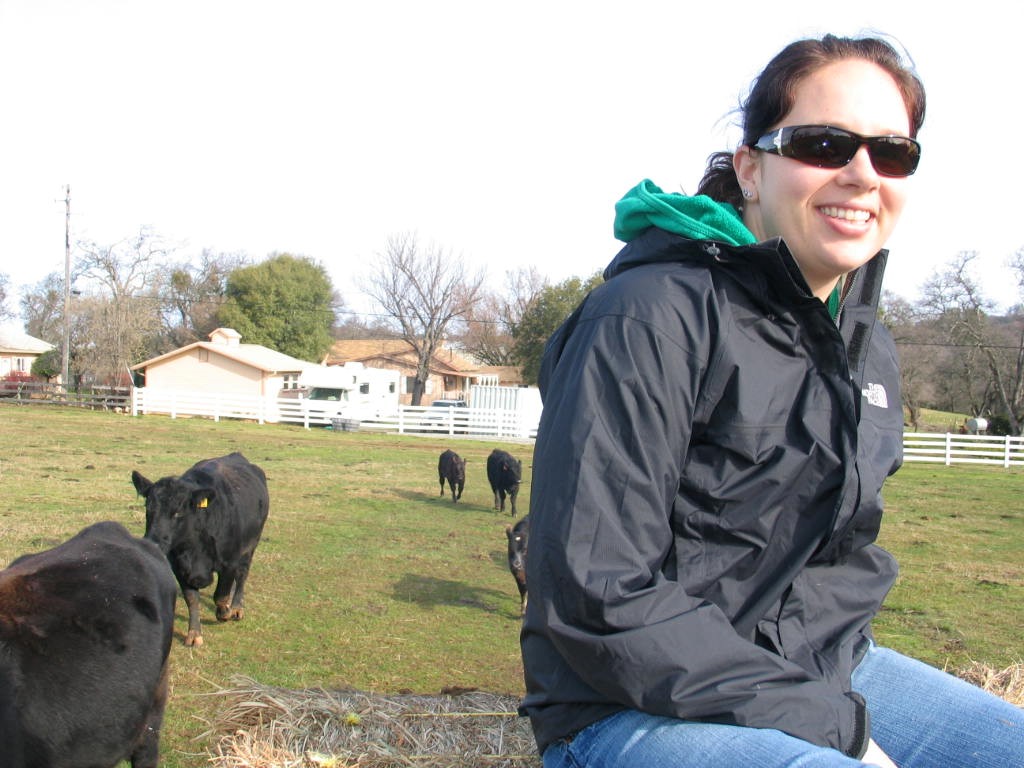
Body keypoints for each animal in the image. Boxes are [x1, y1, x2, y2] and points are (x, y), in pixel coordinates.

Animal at [131, 454, 268, 647]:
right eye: (148, 508)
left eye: (178, 512)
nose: (153, 543)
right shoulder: (179, 567)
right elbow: (192, 599)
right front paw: (194, 634)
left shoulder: (230, 562)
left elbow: (220, 595)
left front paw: (224, 612)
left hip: (250, 547)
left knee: (242, 575)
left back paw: (236, 607)